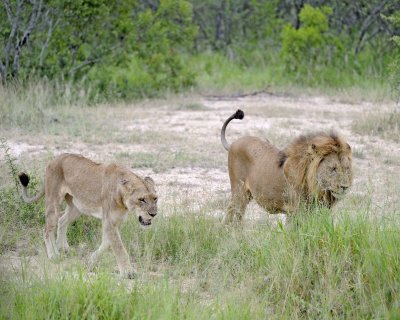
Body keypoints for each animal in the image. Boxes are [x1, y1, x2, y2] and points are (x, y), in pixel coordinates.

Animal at [18, 153, 157, 278]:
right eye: (142, 199)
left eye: (155, 198)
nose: (153, 214)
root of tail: (54, 159)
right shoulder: (109, 221)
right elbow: (119, 247)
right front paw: (128, 272)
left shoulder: (116, 221)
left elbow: (107, 243)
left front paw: (91, 261)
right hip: (53, 201)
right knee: (47, 229)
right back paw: (53, 255)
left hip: (77, 206)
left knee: (62, 220)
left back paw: (61, 247)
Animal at [220, 109, 352, 224]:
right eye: (333, 169)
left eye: (346, 169)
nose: (345, 187)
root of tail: (233, 143)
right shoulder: (295, 211)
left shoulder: (317, 211)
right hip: (239, 192)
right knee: (234, 213)